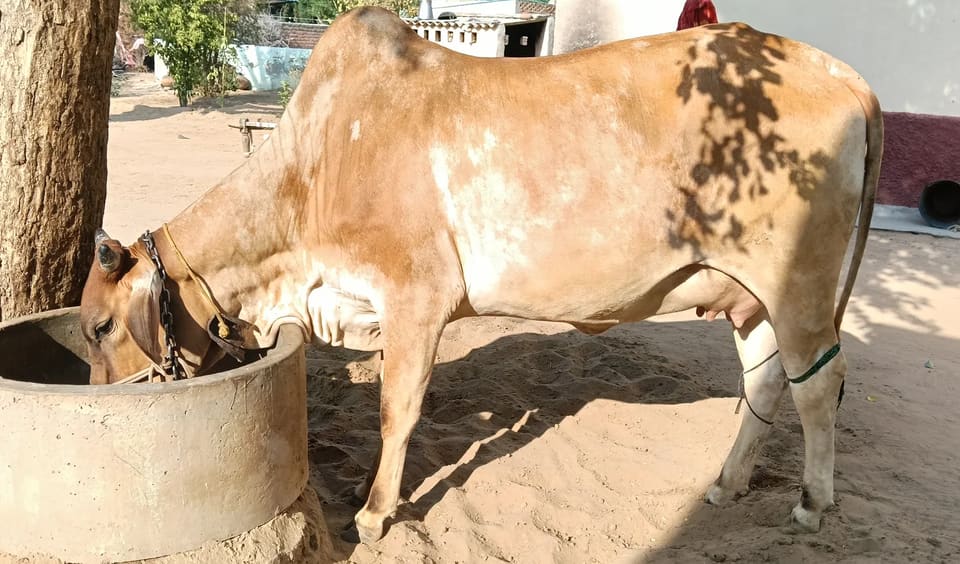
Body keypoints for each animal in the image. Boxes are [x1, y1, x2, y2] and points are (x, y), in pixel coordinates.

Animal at [80, 7, 882, 545]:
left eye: (98, 326)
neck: (310, 174)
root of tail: (842, 75)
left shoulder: (416, 296)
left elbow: (397, 412)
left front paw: (375, 513)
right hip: (751, 299)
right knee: (766, 383)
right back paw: (726, 483)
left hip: (798, 288)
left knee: (820, 388)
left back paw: (811, 502)